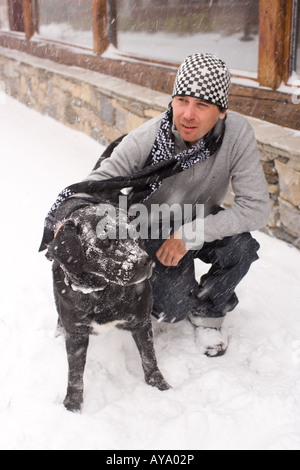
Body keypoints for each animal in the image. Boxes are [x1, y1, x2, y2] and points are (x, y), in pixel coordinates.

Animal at [46, 202, 170, 412]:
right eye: (106, 240)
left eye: (132, 233)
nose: (145, 261)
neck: (102, 293)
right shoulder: (76, 333)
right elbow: (75, 373)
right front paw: (72, 405)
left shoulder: (141, 322)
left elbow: (149, 357)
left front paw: (159, 384)